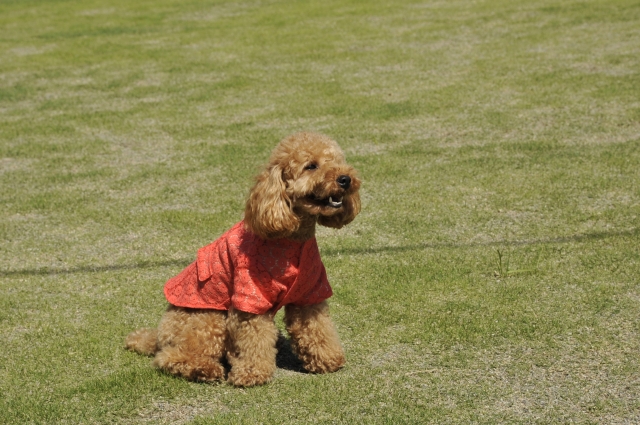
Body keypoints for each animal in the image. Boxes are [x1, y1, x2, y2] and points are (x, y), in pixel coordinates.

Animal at [125, 132, 360, 384]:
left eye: (337, 162)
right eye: (311, 166)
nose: (345, 179)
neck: (291, 239)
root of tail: (158, 334)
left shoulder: (310, 291)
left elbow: (317, 327)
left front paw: (326, 359)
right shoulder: (250, 296)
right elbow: (253, 338)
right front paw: (252, 373)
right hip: (208, 317)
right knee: (172, 356)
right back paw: (204, 370)